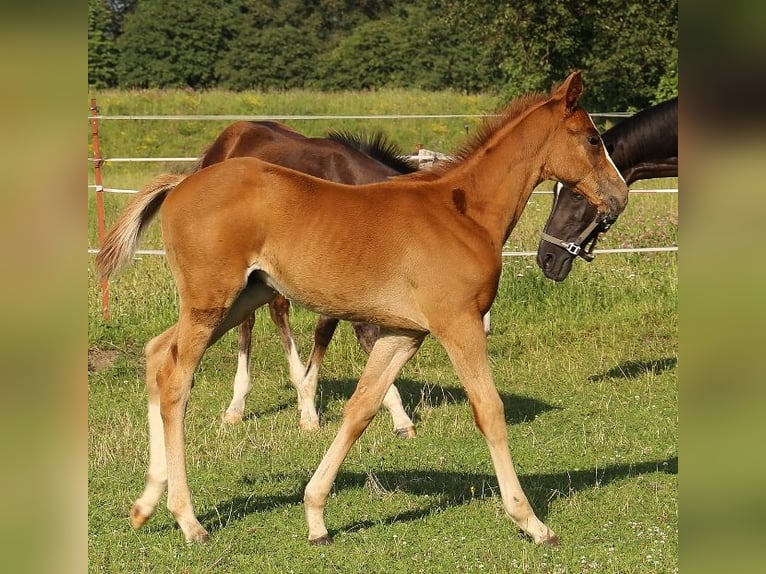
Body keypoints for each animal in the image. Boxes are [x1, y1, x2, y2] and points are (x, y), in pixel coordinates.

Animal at [97, 73, 632, 548]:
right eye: (592, 138)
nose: (620, 195)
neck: (462, 212)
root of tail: (183, 182)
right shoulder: (457, 324)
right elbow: (489, 410)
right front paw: (532, 522)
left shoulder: (403, 333)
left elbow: (361, 408)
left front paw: (315, 516)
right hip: (212, 303)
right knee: (175, 382)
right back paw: (188, 520)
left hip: (238, 299)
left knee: (156, 353)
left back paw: (145, 504)